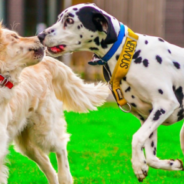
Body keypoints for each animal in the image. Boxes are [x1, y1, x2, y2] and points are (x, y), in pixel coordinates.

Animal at [37, 3, 184, 183]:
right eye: (59, 18)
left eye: (69, 20)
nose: (40, 36)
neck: (128, 54)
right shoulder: (147, 116)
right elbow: (151, 157)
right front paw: (169, 164)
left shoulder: (165, 104)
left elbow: (136, 138)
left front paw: (137, 165)